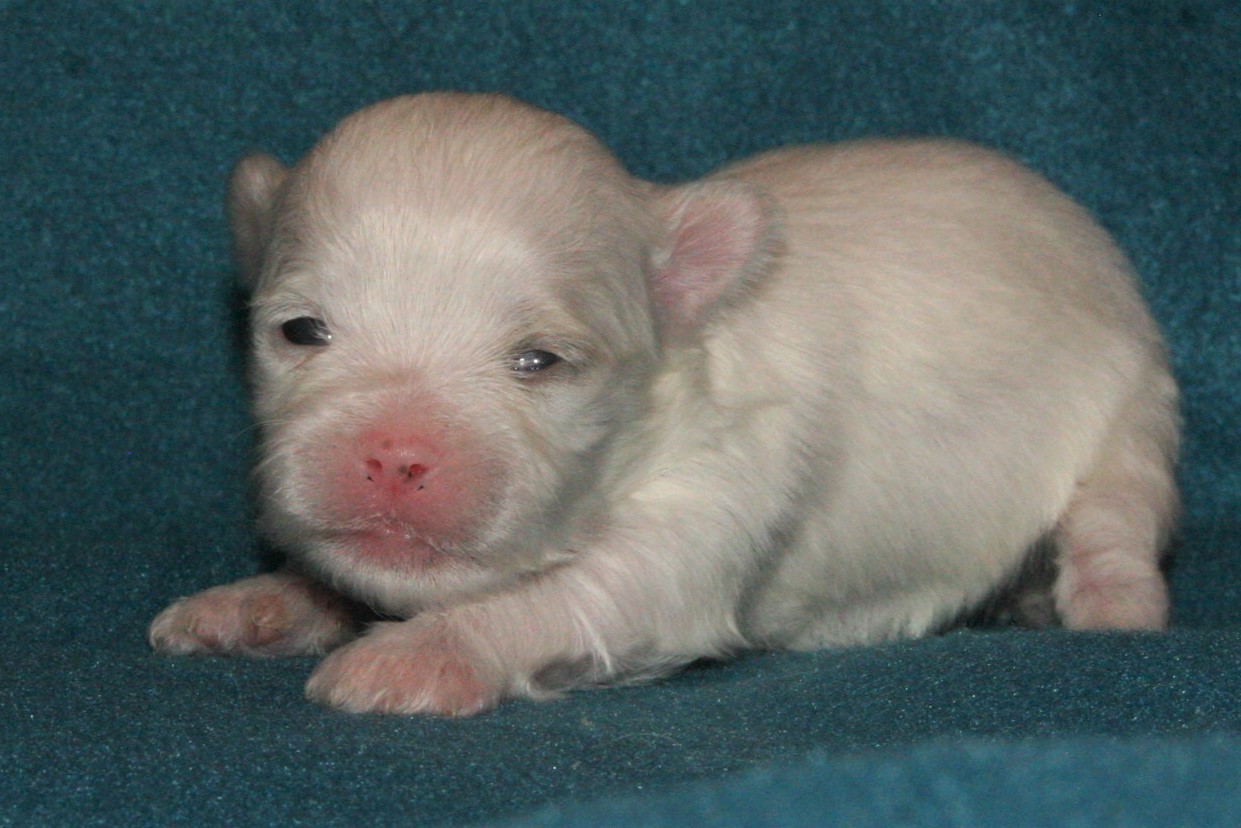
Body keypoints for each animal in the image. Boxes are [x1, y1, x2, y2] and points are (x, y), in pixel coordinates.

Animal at [149, 93, 1180, 716]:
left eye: (539, 361)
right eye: (300, 332)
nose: (394, 454)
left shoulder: (704, 513)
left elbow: (558, 597)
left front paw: (409, 655)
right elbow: (331, 577)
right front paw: (254, 605)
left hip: (1130, 406)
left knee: (1115, 521)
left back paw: (1106, 605)